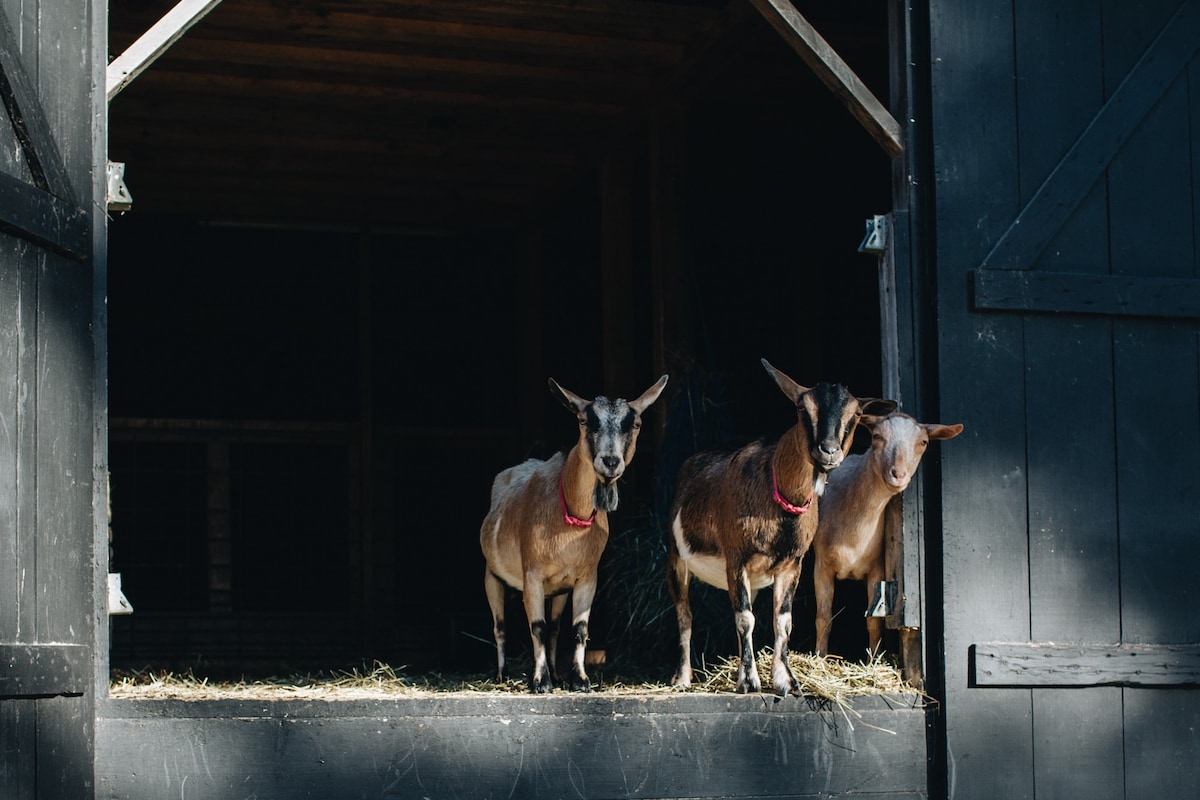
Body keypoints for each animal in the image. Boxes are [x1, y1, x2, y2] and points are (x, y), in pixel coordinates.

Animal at [480, 371, 672, 690]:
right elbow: (537, 627)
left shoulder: (586, 577)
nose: (610, 462)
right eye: (584, 421)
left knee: (556, 627)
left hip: (557, 590)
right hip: (492, 576)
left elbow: (578, 628)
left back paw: (556, 674)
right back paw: (502, 674)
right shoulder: (532, 574)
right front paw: (539, 681)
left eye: (635, 424)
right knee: (500, 626)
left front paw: (579, 679)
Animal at [672, 357, 897, 695]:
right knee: (685, 616)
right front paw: (749, 681)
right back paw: (683, 678)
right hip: (677, 560)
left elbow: (782, 621)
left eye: (856, 414)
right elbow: (745, 618)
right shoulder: (736, 556)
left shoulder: (792, 564)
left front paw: (785, 680)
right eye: (802, 408)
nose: (828, 450)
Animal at [811, 412, 960, 657]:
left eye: (923, 442)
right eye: (877, 437)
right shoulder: (822, 565)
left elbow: (873, 622)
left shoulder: (877, 569)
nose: (898, 474)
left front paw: (873, 658)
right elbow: (824, 617)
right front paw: (820, 658)